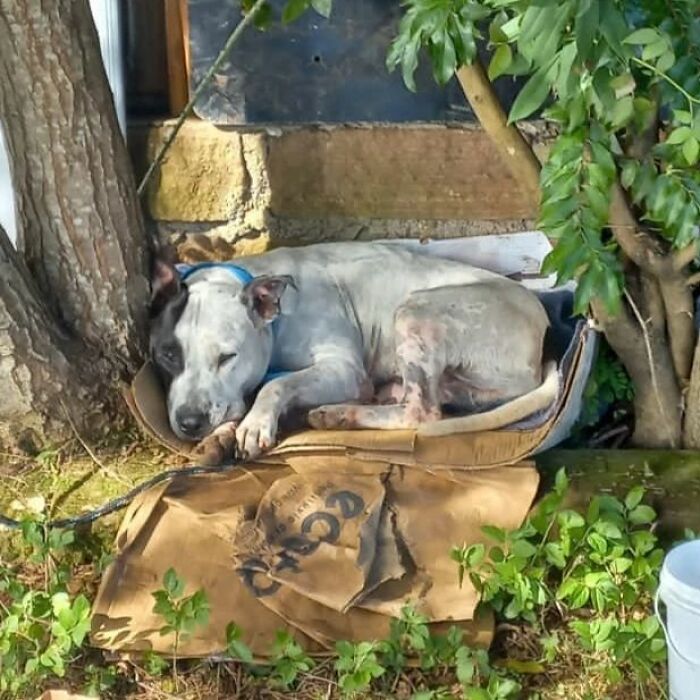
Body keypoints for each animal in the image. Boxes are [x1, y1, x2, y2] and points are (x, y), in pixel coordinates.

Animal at [150, 241, 548, 460]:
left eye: (227, 357)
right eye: (168, 356)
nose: (190, 422)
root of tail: (541, 334)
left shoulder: (342, 369)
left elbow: (276, 384)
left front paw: (254, 423)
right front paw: (220, 434)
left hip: (417, 311)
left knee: (422, 412)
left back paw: (341, 414)